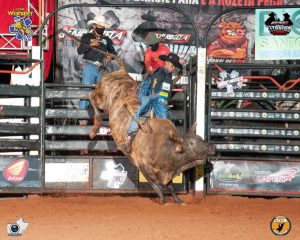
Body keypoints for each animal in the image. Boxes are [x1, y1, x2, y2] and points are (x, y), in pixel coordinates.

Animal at [88, 56, 214, 204]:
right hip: (102, 98)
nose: (212, 147)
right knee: (91, 95)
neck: (163, 146)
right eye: (192, 143)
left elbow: (170, 185)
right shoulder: (143, 166)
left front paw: (178, 200)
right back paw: (94, 128)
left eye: (200, 138)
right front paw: (164, 201)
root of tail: (121, 71)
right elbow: (156, 184)